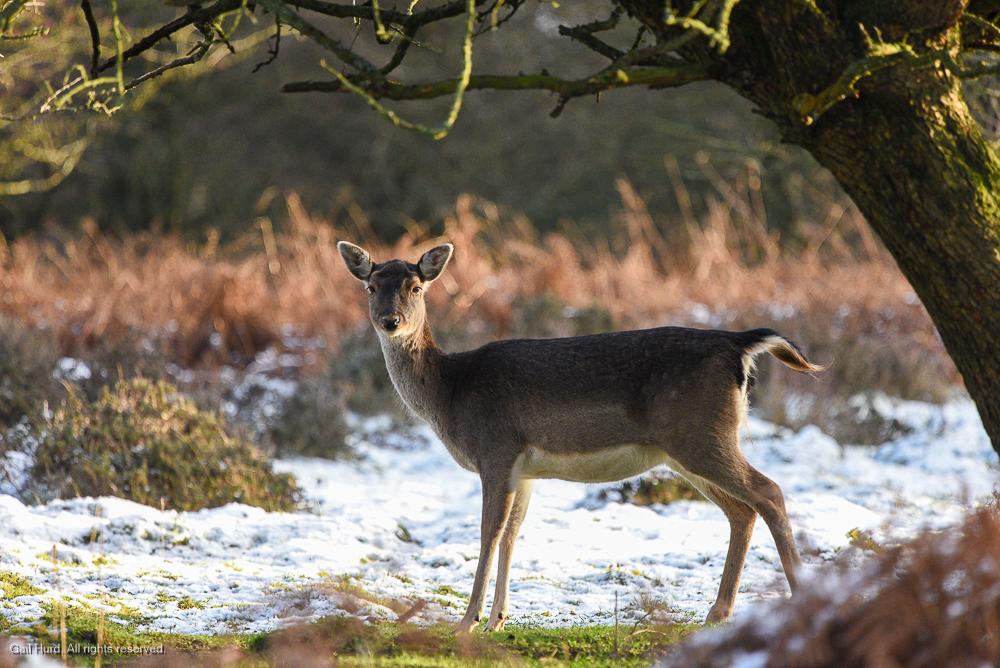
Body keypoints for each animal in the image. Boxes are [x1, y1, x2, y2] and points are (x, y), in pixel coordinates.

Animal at [336, 240, 824, 633]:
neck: (450, 393)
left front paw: (467, 623)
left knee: (769, 491)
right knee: (742, 510)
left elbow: (488, 533)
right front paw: (497, 620)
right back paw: (718, 613)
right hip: (689, 446)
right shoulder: (523, 470)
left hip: (700, 434)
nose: (391, 321)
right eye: (371, 287)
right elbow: (512, 535)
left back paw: (799, 598)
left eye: (416, 287)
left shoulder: (495, 449)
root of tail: (740, 345)